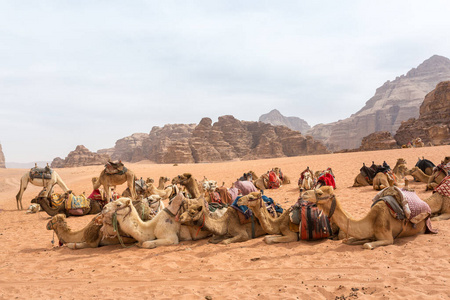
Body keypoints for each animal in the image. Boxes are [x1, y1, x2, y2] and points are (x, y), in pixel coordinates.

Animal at [302, 186, 432, 250]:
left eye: (319, 193)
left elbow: (367, 245)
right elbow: (347, 240)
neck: (370, 221)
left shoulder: (388, 238)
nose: (303, 194)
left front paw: (367, 243)